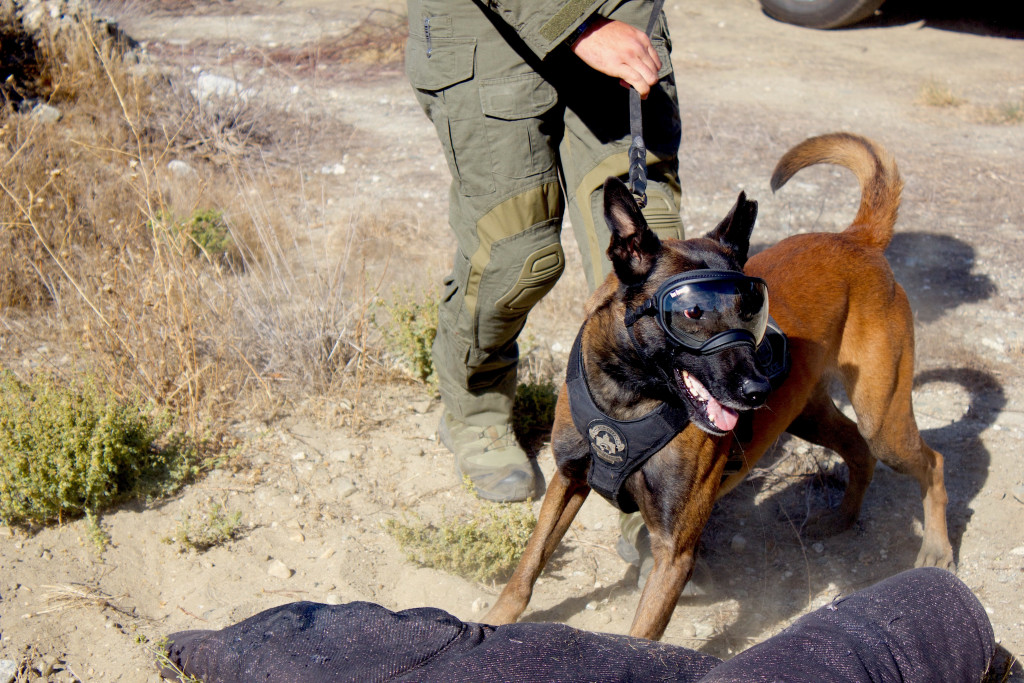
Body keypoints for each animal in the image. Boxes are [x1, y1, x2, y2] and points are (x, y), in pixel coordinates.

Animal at [483, 132, 954, 643]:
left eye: (753, 309)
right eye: (692, 312)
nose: (757, 390)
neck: (629, 397)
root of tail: (855, 239)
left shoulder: (673, 552)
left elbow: (639, 638)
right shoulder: (567, 482)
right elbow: (529, 565)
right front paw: (495, 620)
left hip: (882, 419)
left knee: (931, 461)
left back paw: (937, 547)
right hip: (811, 416)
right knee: (857, 449)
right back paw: (842, 518)